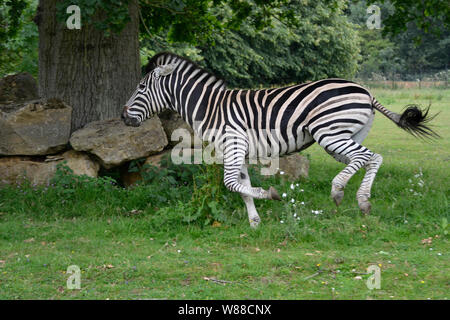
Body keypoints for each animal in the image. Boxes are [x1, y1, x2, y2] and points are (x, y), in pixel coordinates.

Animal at [121, 52, 438, 228]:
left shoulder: (232, 145)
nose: (123, 117)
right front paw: (254, 222)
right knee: (373, 157)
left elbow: (231, 184)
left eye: (141, 87)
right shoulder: (237, 151)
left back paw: (338, 190)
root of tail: (366, 91)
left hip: (330, 133)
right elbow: (242, 187)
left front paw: (271, 195)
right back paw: (363, 202)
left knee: (365, 157)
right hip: (345, 135)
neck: (210, 107)